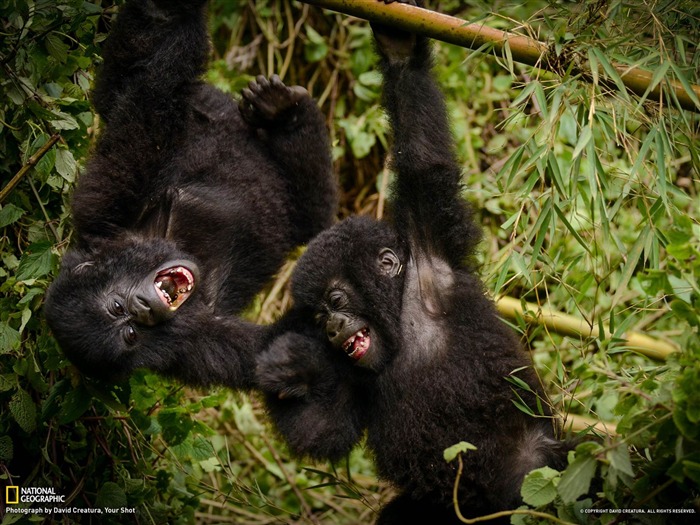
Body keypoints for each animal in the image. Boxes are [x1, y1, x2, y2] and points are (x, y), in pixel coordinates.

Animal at [43, 0, 336, 384]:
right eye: (131, 333)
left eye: (118, 307)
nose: (144, 309)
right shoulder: (190, 349)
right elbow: (274, 351)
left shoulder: (102, 209)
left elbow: (151, 108)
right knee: (314, 218)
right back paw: (289, 117)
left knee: (121, 85)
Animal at [256, 2, 568, 520]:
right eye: (317, 317)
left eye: (336, 300)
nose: (333, 328)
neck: (401, 317)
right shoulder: (352, 375)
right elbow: (323, 427)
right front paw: (290, 368)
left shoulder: (431, 249)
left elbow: (423, 157)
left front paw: (398, 47)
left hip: (546, 478)